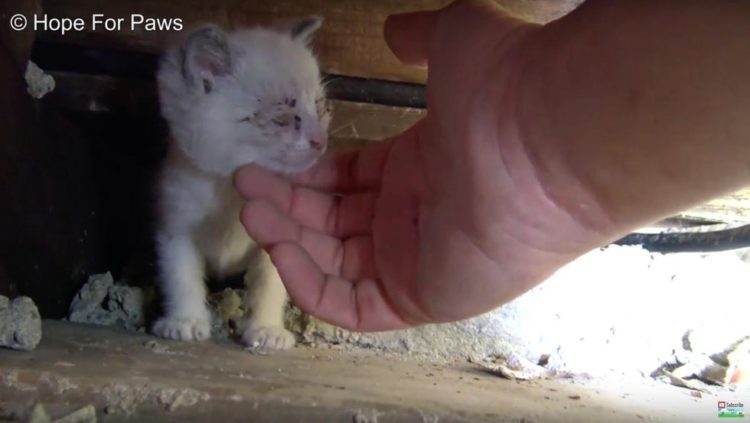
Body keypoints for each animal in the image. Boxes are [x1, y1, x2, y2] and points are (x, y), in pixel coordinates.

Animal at [152, 19, 328, 352]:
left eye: (320, 108)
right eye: (284, 115)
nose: (320, 141)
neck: (231, 193)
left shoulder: (276, 240)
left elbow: (269, 285)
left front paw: (266, 329)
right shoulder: (175, 228)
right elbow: (180, 276)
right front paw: (185, 321)